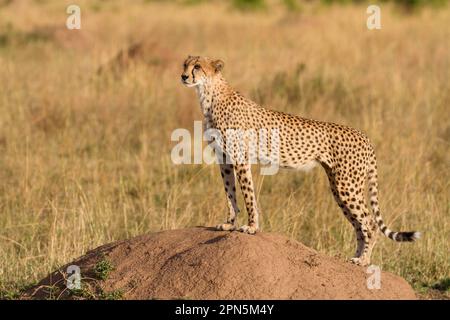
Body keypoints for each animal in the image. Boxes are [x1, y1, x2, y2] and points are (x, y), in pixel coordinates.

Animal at [181, 56, 420, 266]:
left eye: (198, 67)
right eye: (185, 64)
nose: (183, 76)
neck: (209, 94)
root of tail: (364, 136)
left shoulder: (241, 158)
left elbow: (248, 195)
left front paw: (251, 227)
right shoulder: (224, 159)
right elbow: (230, 193)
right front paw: (230, 224)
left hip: (347, 186)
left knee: (369, 222)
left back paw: (364, 261)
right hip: (338, 187)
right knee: (358, 224)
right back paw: (355, 258)